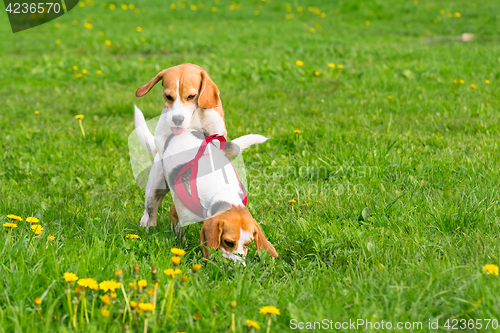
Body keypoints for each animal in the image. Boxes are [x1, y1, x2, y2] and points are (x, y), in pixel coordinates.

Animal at [134, 63, 226, 228]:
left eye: (191, 96)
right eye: (168, 97)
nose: (177, 119)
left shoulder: (216, 132)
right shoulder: (162, 135)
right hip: (154, 188)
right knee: (150, 209)